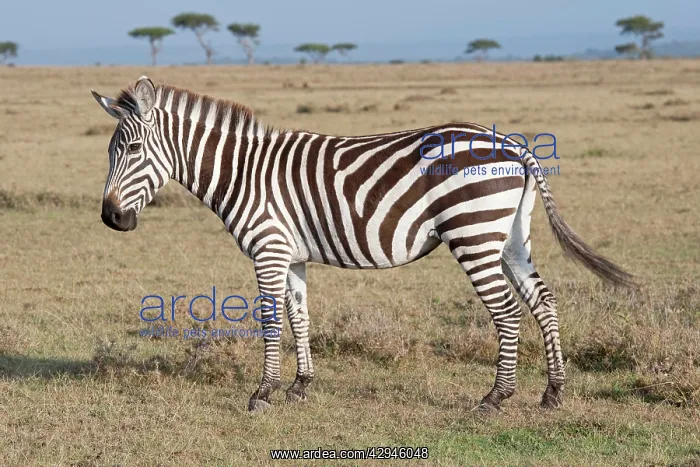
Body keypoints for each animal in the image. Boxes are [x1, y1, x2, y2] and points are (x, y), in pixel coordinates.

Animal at [91, 76, 633, 413]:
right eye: (110, 152)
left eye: (132, 149)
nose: (111, 219)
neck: (244, 172)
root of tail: (515, 146)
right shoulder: (292, 256)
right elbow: (299, 316)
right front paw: (300, 386)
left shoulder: (268, 248)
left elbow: (270, 320)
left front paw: (263, 392)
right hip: (511, 236)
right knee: (542, 300)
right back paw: (553, 392)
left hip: (473, 233)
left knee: (506, 311)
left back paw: (495, 398)